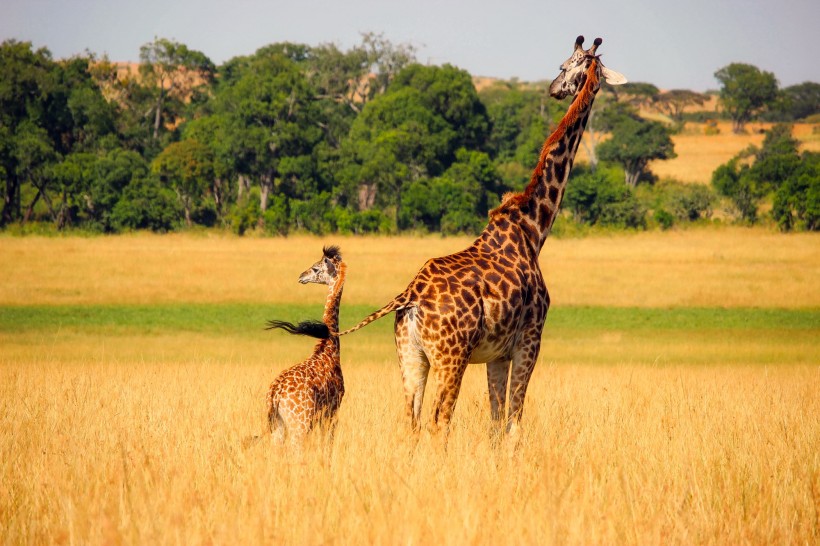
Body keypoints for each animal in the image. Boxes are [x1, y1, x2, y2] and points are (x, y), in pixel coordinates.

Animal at [266, 244, 346, 444]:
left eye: (316, 268)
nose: (301, 276)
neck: (329, 348)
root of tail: (275, 395)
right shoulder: (333, 410)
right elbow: (327, 444)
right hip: (299, 425)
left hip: (278, 426)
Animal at [342, 35, 624, 434]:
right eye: (564, 65)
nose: (555, 89)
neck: (534, 228)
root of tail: (409, 297)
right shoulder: (529, 341)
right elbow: (514, 422)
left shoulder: (497, 354)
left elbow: (495, 421)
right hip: (451, 356)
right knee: (439, 419)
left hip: (411, 355)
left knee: (411, 420)